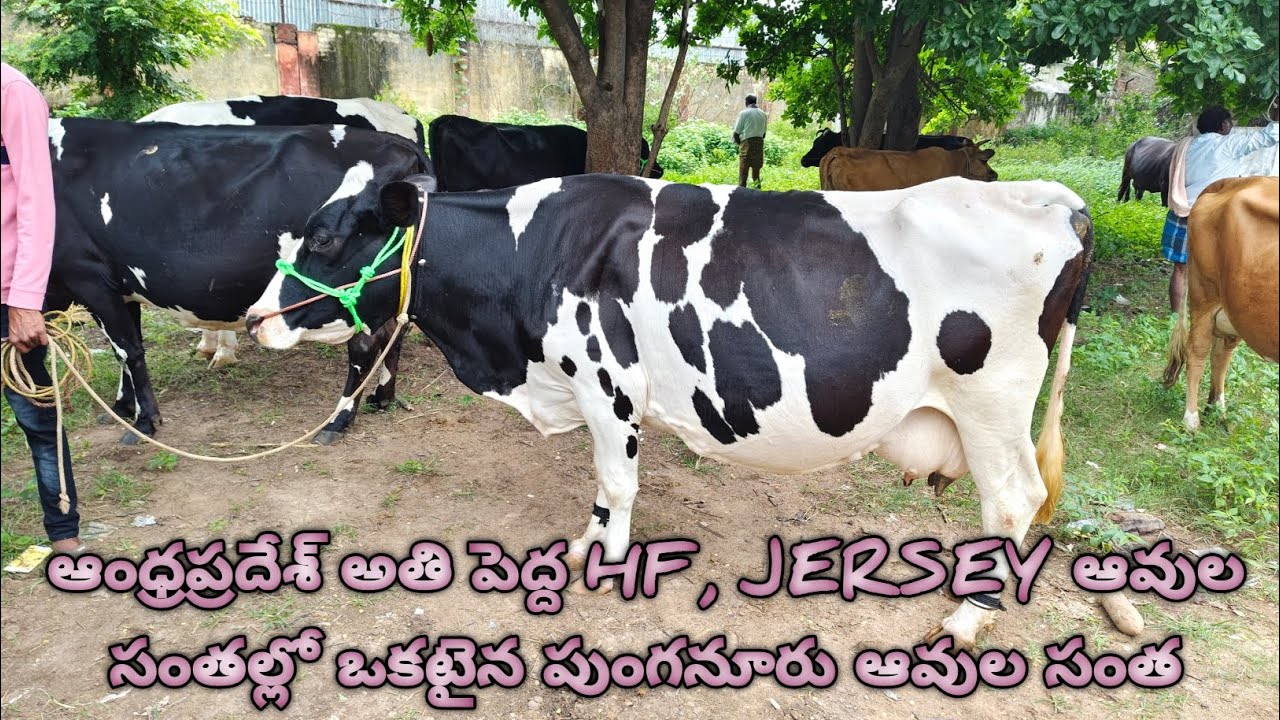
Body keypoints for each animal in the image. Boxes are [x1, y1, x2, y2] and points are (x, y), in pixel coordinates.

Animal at [246, 174, 1094, 648]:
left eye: (325, 236)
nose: (253, 318)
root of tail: (1051, 200)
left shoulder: (606, 380)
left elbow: (619, 481)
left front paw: (609, 559)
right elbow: (601, 483)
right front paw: (585, 543)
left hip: (993, 404)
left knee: (1012, 501)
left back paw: (968, 617)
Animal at [1162, 176, 1279, 430]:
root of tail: (1231, 182)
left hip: (1238, 306)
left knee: (1221, 352)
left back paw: (1217, 410)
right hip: (1204, 293)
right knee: (1197, 350)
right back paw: (1191, 419)